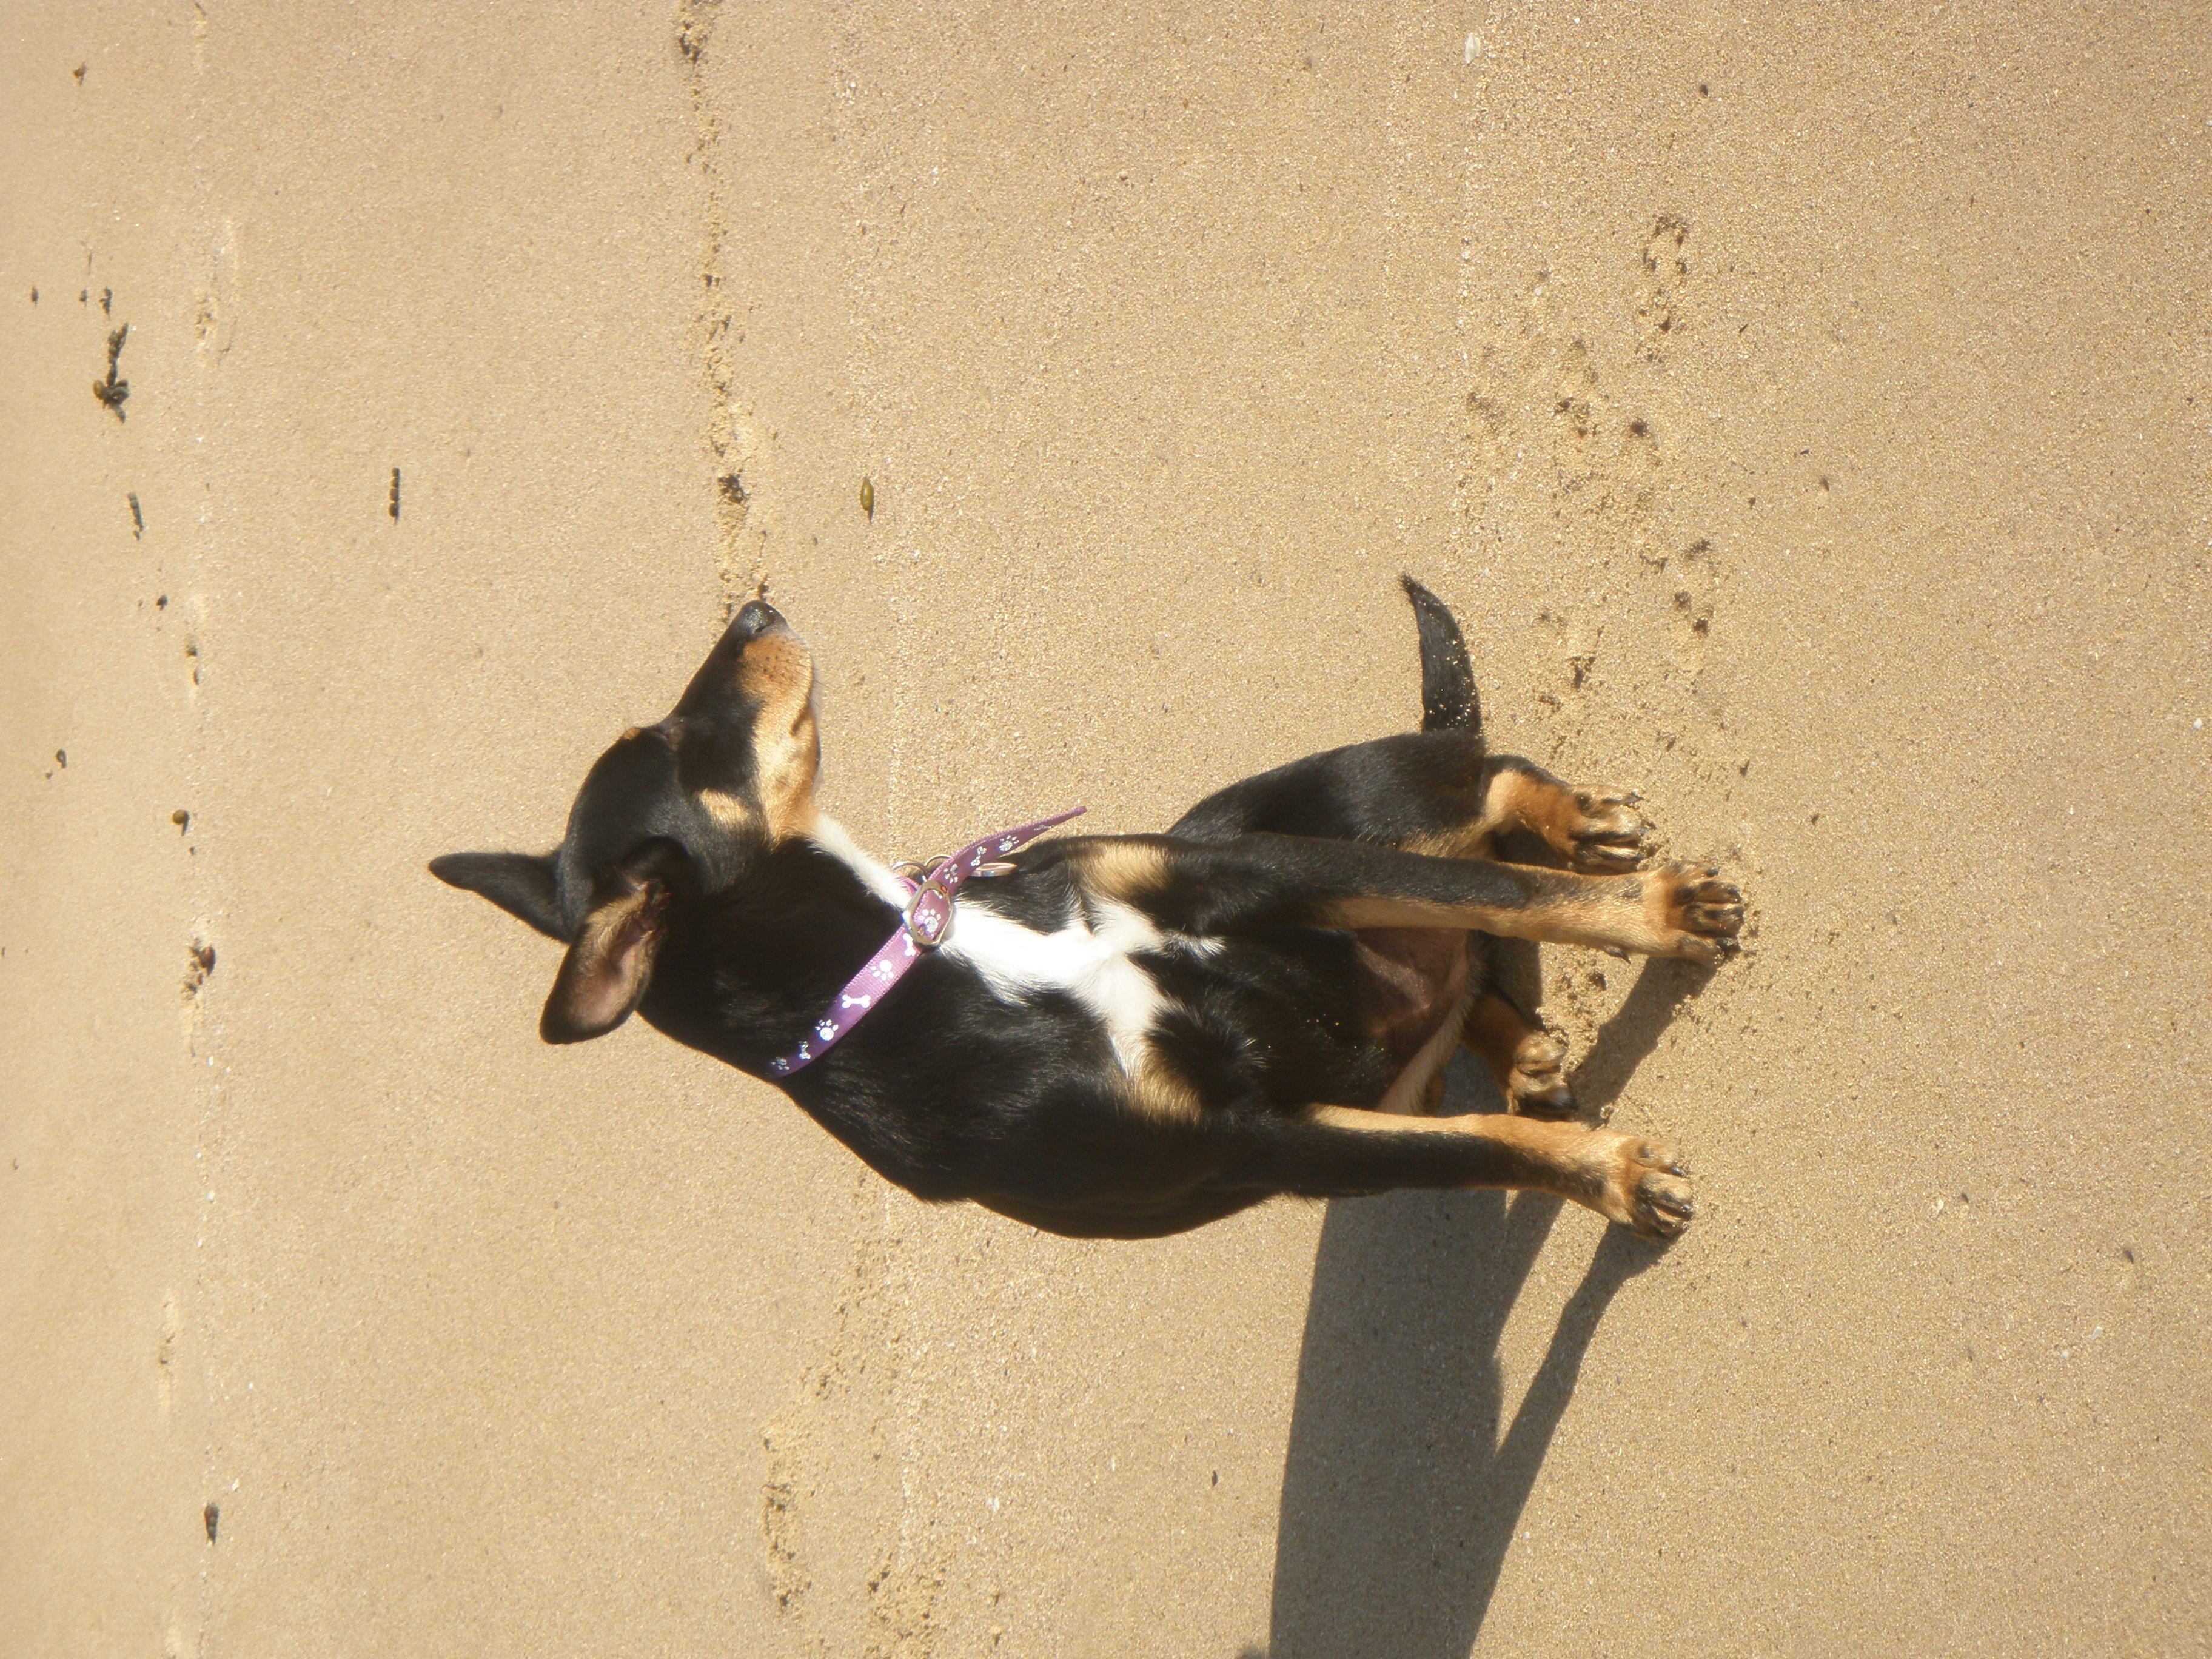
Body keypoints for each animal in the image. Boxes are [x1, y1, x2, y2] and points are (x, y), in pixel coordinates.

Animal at [431, 579, 1741, 1240]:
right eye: (669, 737)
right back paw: (1525, 1053)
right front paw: (1615, 1179)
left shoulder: (1245, 873)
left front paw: (1662, 911)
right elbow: (1478, 1147)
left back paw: (1585, 830)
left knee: (1483, 797)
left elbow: (1523, 896)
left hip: (1296, 810)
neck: (925, 960)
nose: (752, 604)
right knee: (1464, 967)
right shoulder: (1267, 1138)